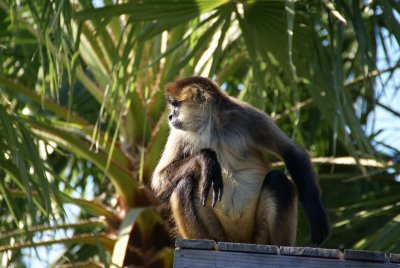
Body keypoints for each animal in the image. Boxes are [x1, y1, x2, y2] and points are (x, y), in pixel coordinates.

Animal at [152, 76, 330, 246]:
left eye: (176, 105)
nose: (170, 116)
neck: (211, 127)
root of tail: (238, 240)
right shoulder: (179, 132)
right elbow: (159, 181)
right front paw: (207, 160)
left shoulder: (245, 114)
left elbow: (291, 152)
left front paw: (315, 213)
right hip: (219, 233)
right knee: (185, 183)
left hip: (259, 236)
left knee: (278, 180)